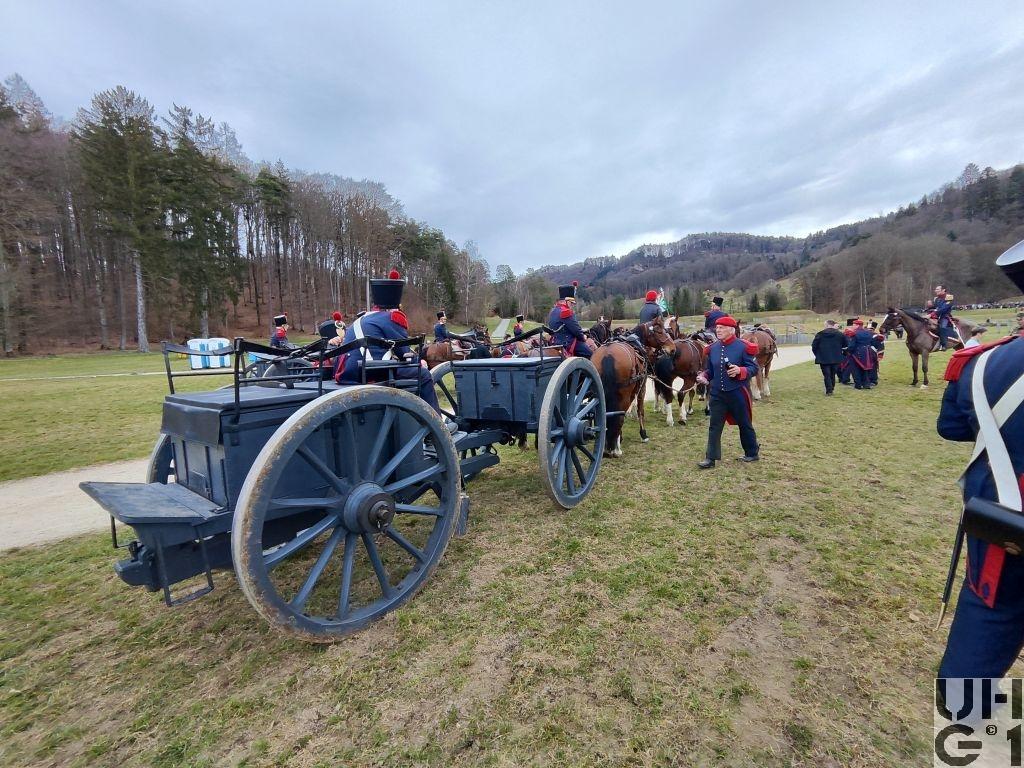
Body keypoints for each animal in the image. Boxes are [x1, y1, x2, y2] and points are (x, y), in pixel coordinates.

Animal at [592, 321, 675, 458]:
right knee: (619, 414)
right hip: (624, 394)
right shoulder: (642, 387)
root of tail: (608, 354)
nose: (673, 348)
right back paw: (616, 448)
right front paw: (643, 434)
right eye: (659, 331)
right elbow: (640, 410)